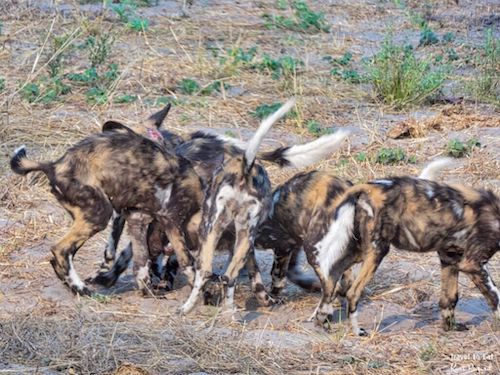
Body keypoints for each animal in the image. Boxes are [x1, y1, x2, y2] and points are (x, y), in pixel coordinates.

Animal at [304, 160, 500, 336]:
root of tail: (367, 187)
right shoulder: (471, 263)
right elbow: (495, 295)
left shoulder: (450, 257)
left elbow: (450, 298)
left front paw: (450, 327)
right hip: (377, 251)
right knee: (353, 292)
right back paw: (357, 331)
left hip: (358, 251)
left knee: (332, 279)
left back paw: (321, 322)